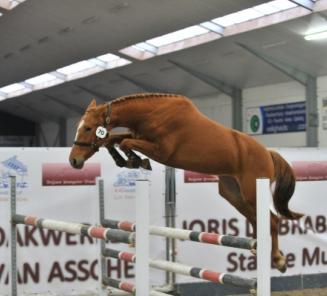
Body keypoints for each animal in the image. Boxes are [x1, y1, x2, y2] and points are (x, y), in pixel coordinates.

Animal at [70, 92, 304, 272]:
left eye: (88, 128)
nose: (74, 161)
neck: (152, 114)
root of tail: (267, 152)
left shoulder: (161, 150)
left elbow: (124, 142)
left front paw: (136, 161)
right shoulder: (139, 137)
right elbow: (113, 140)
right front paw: (126, 160)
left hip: (251, 190)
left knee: (272, 220)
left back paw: (278, 260)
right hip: (232, 192)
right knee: (257, 218)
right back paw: (258, 249)